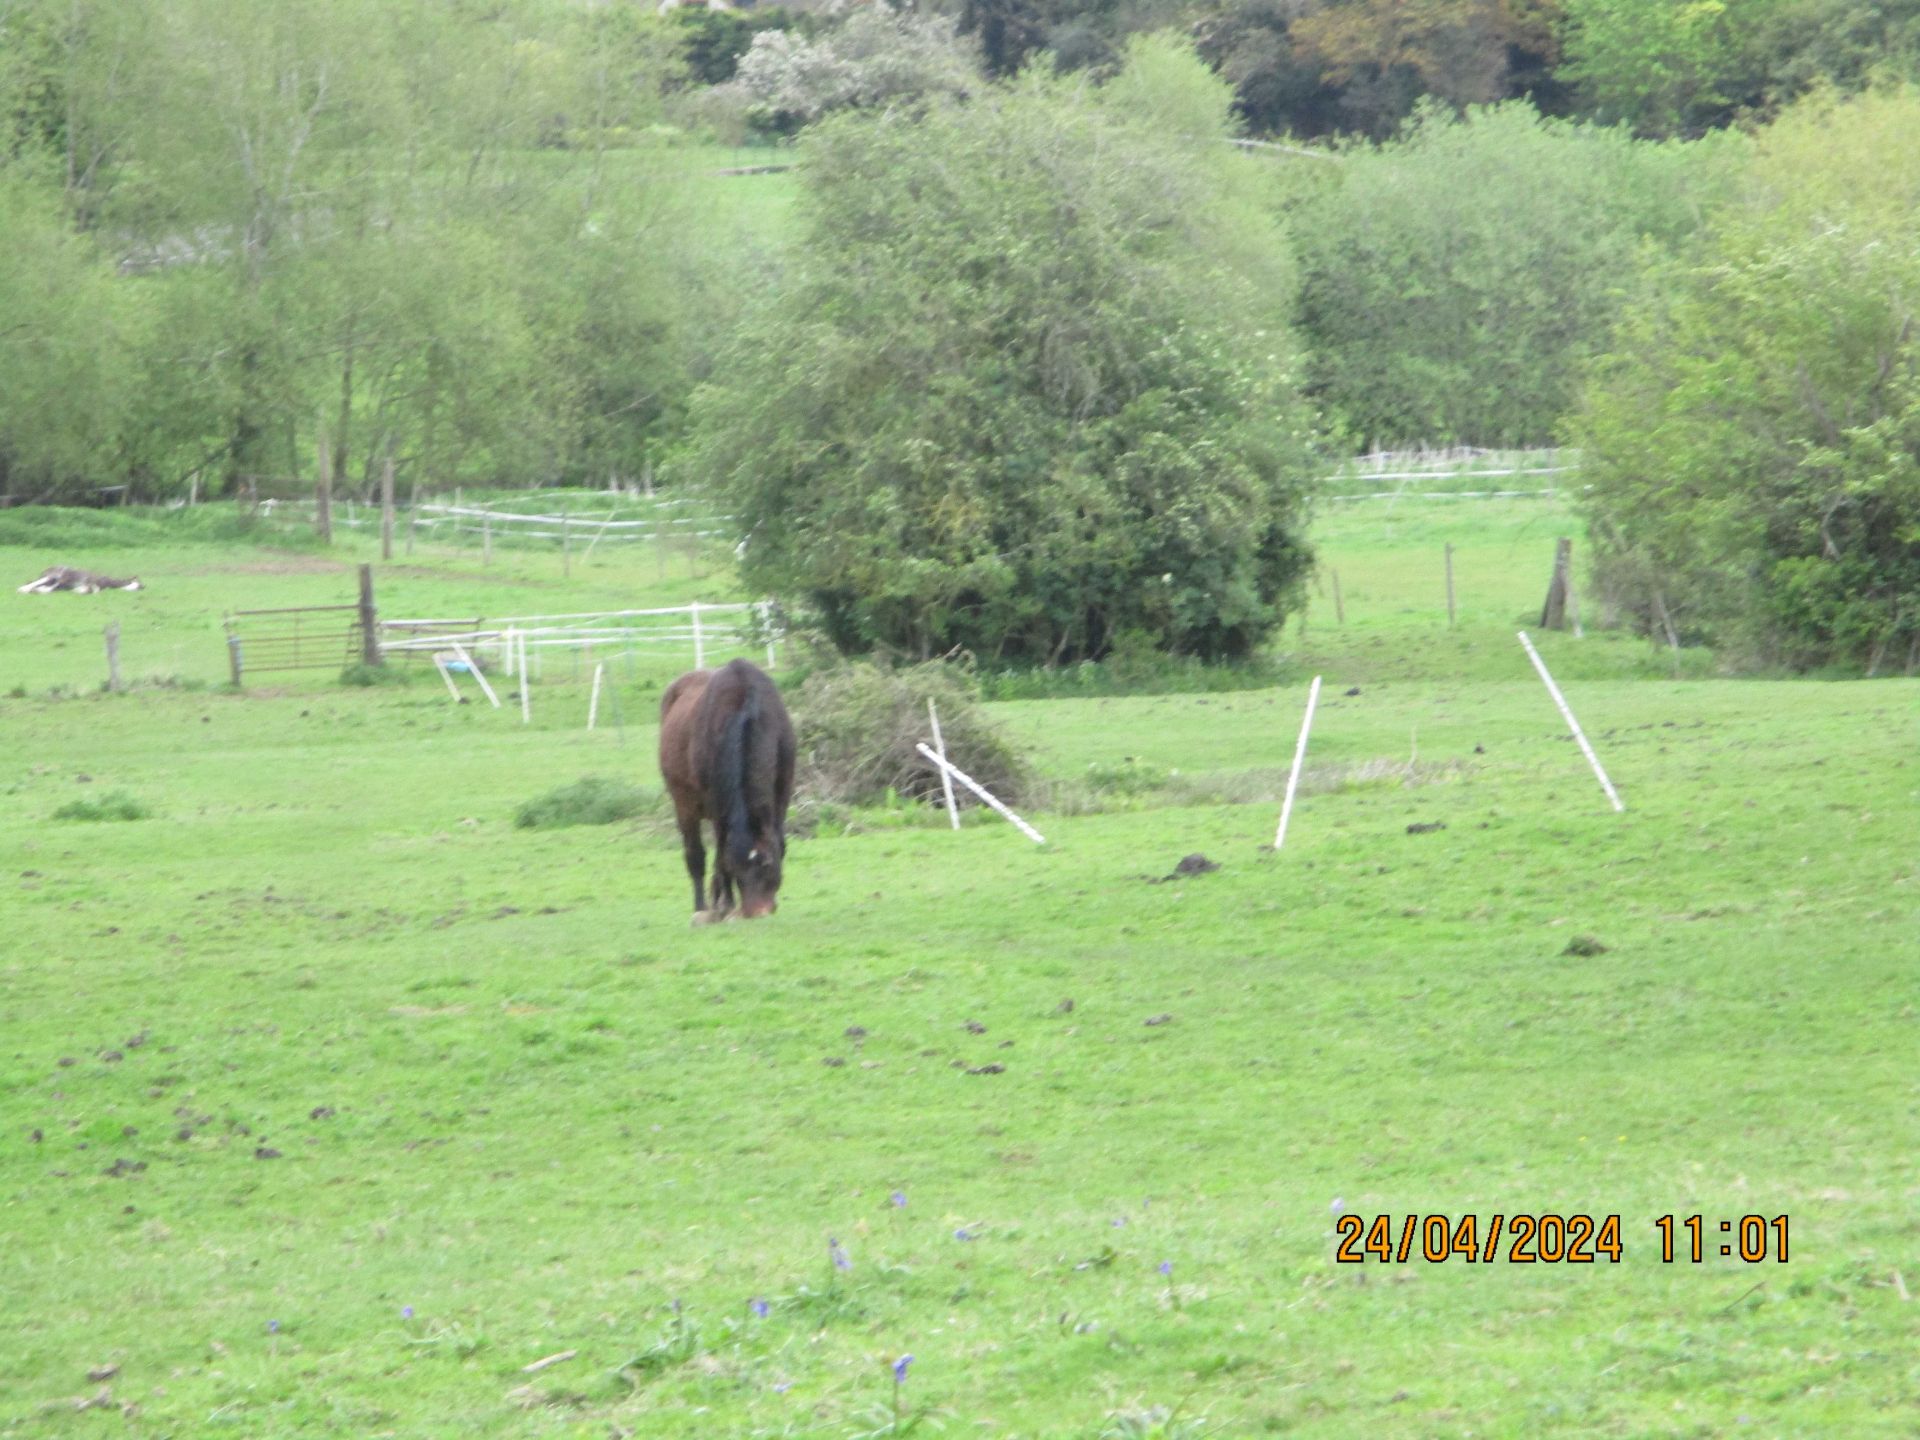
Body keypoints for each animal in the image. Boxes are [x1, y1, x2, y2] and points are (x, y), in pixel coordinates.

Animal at [658, 658, 796, 921]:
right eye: (737, 867)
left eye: (767, 864)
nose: (758, 911)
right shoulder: (717, 804)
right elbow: (721, 854)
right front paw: (726, 903)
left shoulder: (782, 795)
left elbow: (779, 841)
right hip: (684, 805)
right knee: (696, 855)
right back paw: (703, 906)